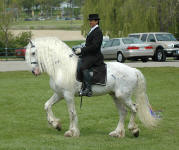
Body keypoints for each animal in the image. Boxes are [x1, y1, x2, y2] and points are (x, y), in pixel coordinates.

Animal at [25, 37, 158, 138]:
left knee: (135, 108)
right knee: (123, 112)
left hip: (123, 96)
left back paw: (134, 130)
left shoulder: (68, 95)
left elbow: (72, 113)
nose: (34, 72)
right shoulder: (59, 94)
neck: (62, 66)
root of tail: (133, 70)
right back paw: (117, 133)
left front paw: (71, 132)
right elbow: (47, 105)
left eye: (33, 53)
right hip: (115, 96)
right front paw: (55, 124)